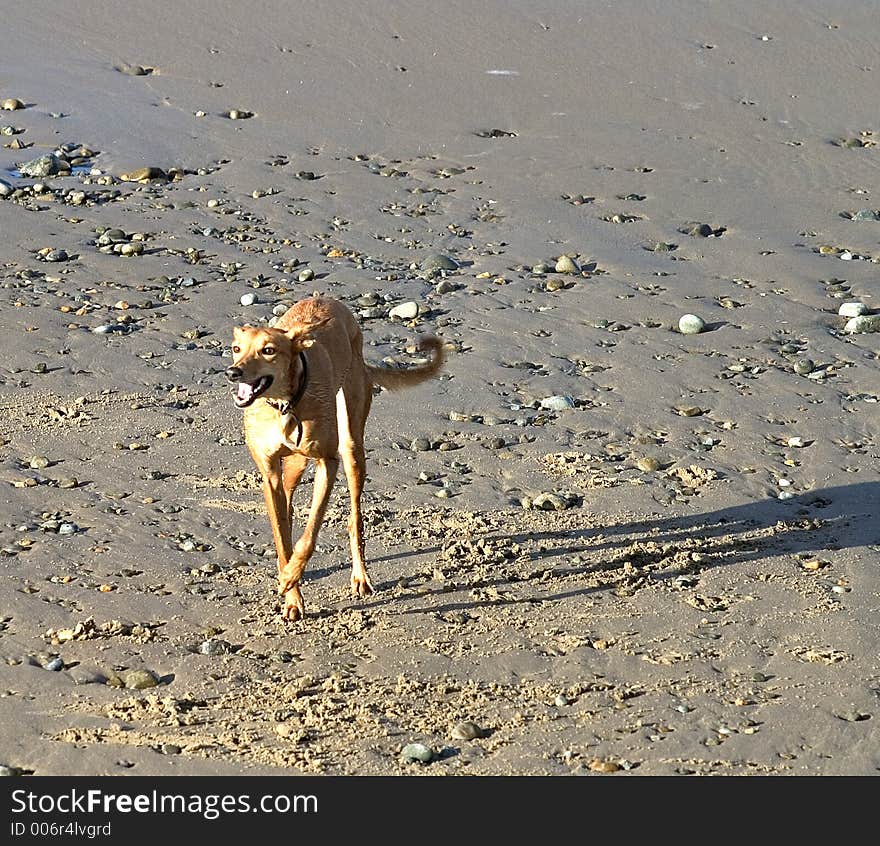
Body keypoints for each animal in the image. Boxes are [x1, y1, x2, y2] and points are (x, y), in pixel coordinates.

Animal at [225, 298, 440, 624]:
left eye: (268, 350)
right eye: (237, 348)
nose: (233, 373)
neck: (285, 406)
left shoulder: (328, 462)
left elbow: (310, 533)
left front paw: (291, 577)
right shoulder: (269, 474)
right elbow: (282, 536)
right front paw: (291, 593)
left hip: (351, 447)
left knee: (355, 520)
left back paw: (360, 577)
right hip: (294, 466)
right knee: (288, 508)